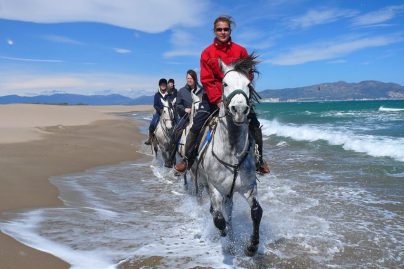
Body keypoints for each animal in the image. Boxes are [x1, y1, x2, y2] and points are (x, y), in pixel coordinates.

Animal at [191, 55, 264, 255]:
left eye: (248, 83)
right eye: (224, 83)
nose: (239, 110)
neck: (232, 151)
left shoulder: (248, 187)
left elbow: (256, 212)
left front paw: (252, 246)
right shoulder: (214, 188)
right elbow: (218, 218)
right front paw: (223, 234)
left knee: (229, 212)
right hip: (201, 182)